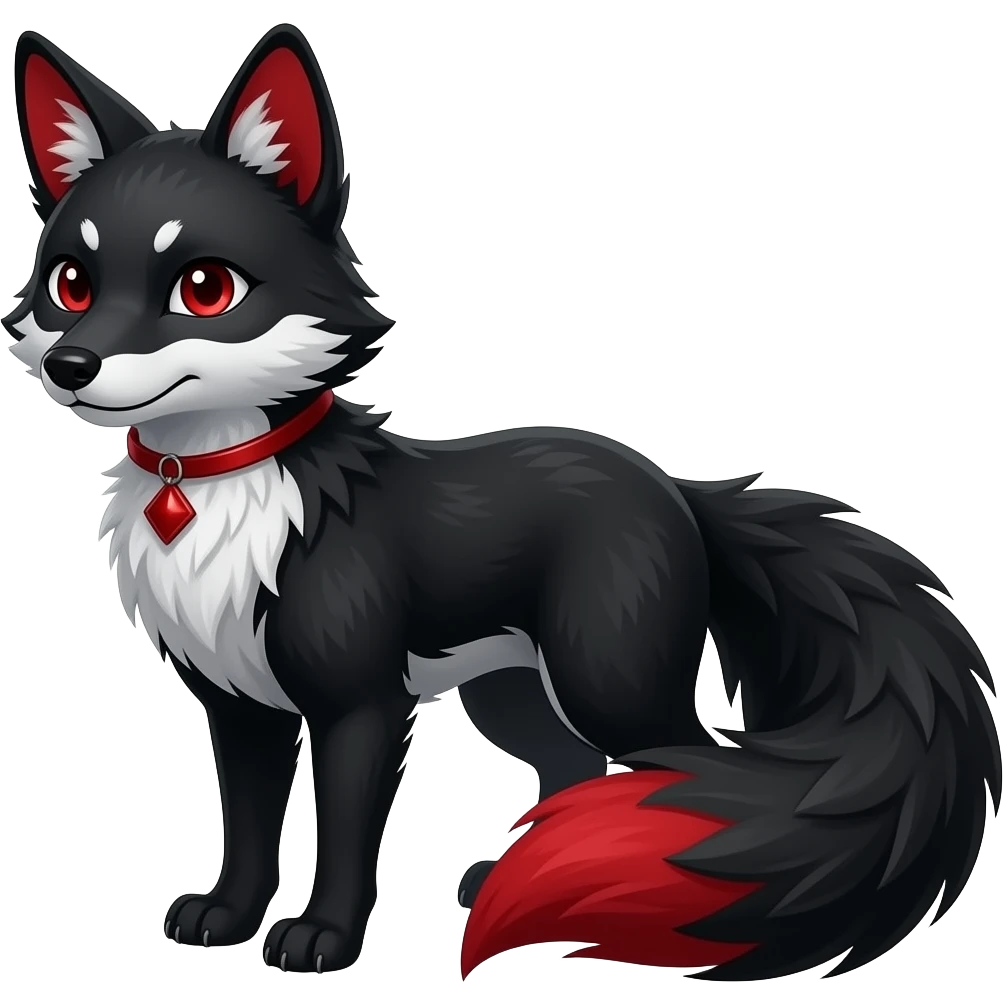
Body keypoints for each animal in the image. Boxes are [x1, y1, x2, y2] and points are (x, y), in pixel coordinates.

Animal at [4, 23, 1000, 980]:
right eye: (70, 284)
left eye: (204, 288)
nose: (73, 366)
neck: (210, 488)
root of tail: (675, 488)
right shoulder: (238, 703)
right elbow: (247, 829)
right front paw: (225, 918)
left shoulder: (361, 704)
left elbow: (347, 836)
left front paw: (324, 938)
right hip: (514, 692)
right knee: (578, 769)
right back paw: (536, 873)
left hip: (606, 677)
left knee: (687, 768)